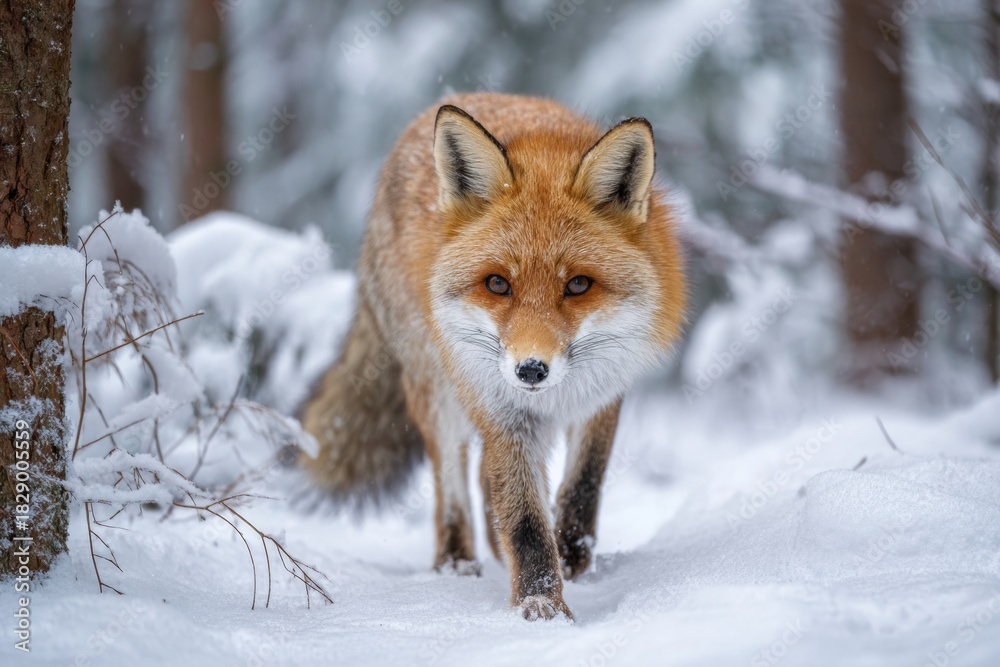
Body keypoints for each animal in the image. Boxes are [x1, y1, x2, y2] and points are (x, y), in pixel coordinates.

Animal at [300, 92, 686, 621]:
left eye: (578, 285)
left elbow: (584, 482)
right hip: (439, 390)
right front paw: (541, 605)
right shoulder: (500, 406)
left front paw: (570, 554)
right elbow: (524, 519)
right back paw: (455, 562)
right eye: (498, 284)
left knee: (486, 483)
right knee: (452, 484)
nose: (531, 370)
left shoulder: (604, 392)